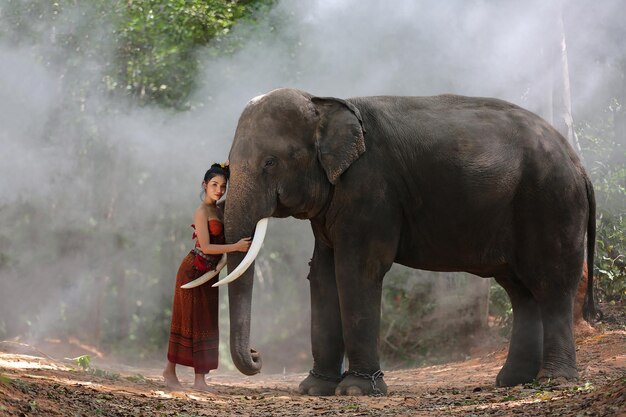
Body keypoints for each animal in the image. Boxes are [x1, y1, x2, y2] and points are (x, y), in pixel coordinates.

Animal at [218, 86, 596, 394]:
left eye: (270, 162)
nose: (257, 355)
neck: (325, 102)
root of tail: (579, 164)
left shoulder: (370, 187)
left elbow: (357, 270)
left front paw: (356, 391)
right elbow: (322, 274)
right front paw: (314, 389)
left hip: (551, 201)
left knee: (551, 284)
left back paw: (555, 380)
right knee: (520, 291)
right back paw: (512, 381)